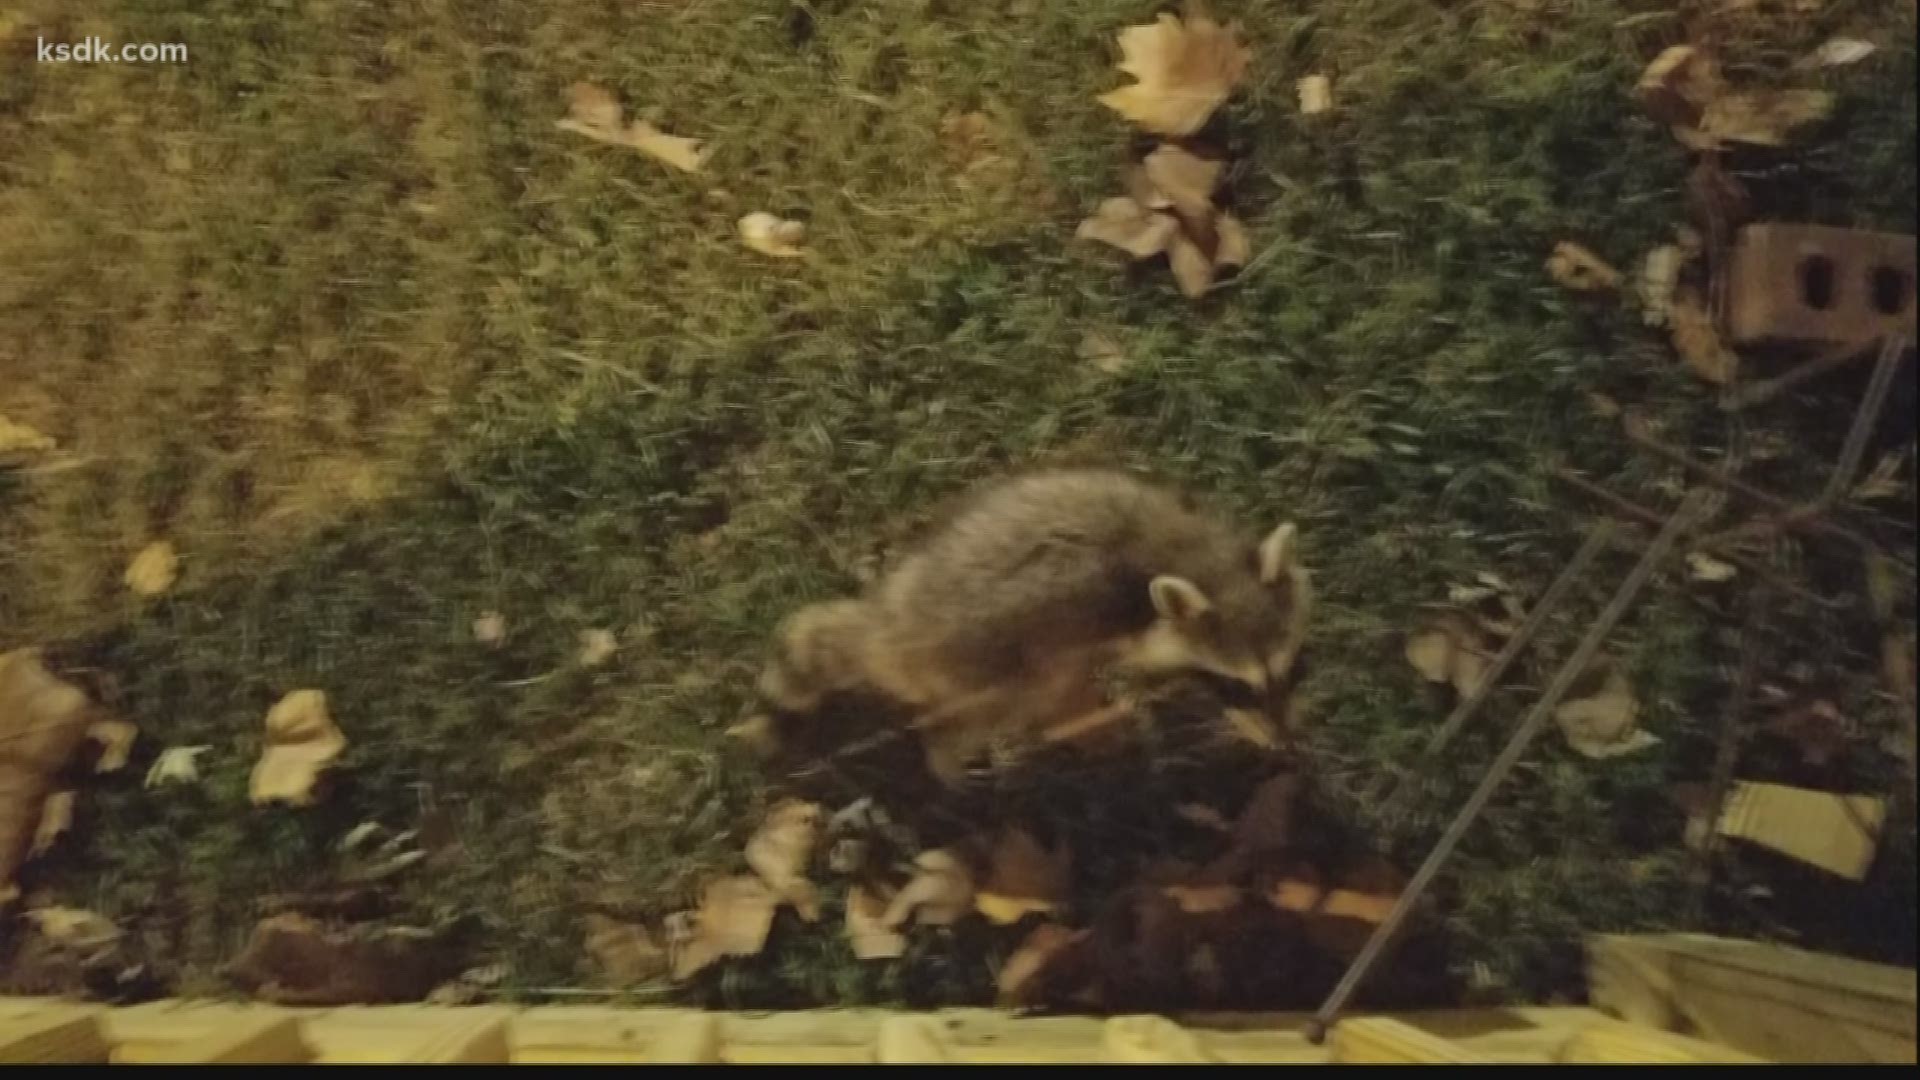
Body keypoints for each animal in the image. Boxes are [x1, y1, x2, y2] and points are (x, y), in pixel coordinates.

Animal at [757, 469, 1312, 784]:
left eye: (1291, 669)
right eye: (1234, 685)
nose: (1289, 747)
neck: (1200, 560)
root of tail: (891, 622)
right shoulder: (1123, 616)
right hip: (993, 656)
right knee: (993, 707)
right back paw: (948, 756)